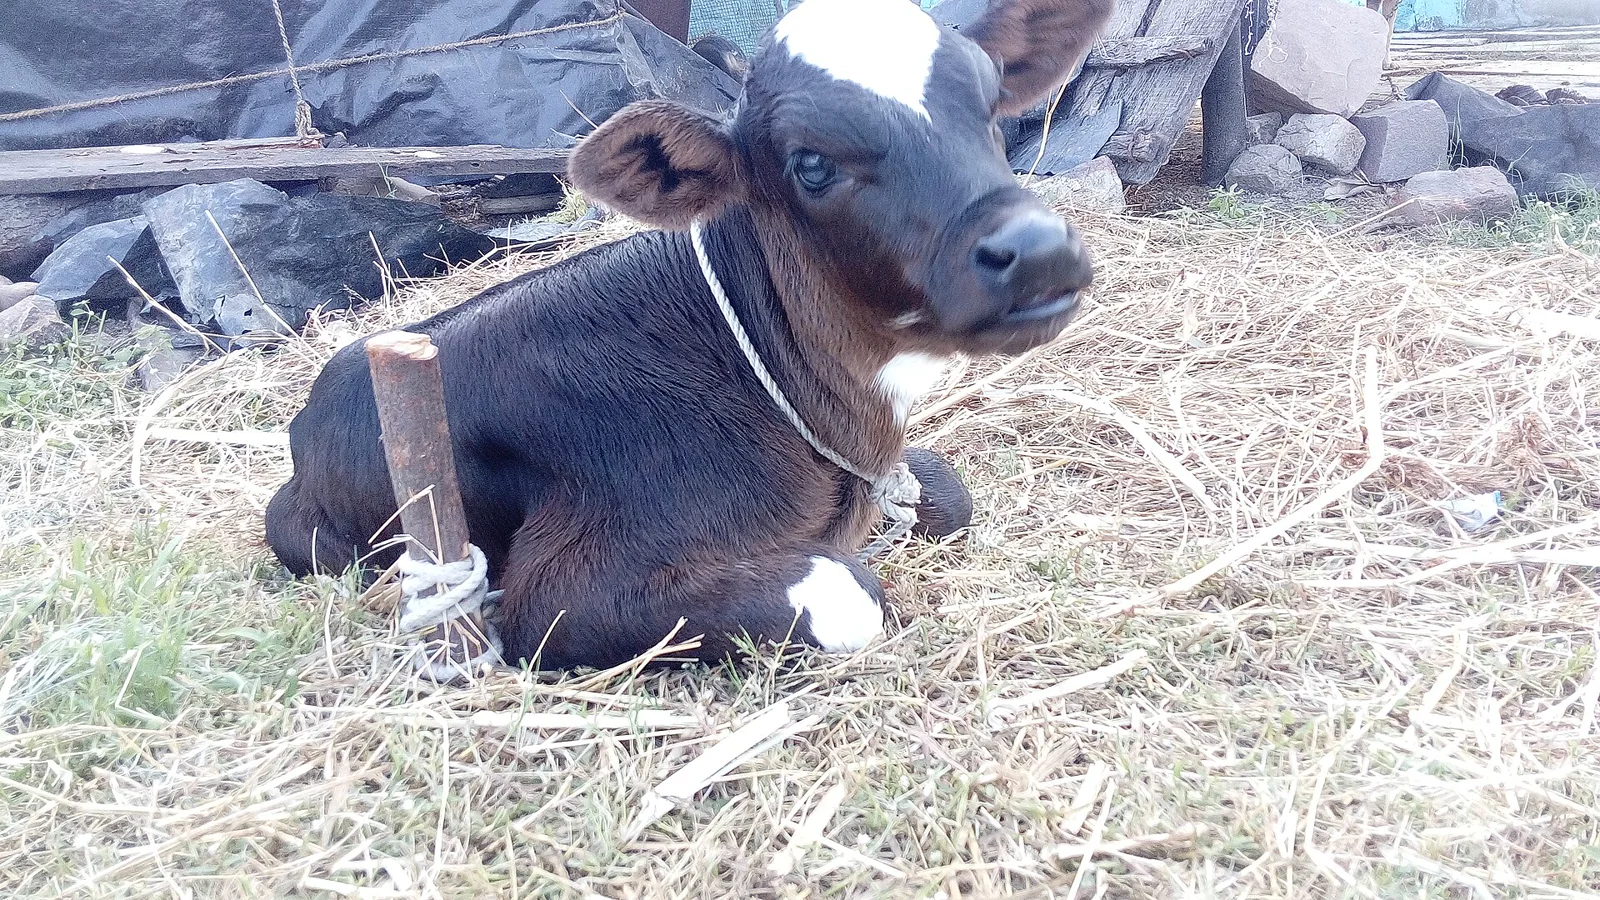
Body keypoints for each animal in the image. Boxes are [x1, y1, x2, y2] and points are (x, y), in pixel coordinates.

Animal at [264, 0, 1113, 671]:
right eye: (810, 163)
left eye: (993, 103)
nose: (1036, 249)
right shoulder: (564, 594)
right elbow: (851, 590)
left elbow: (948, 491)